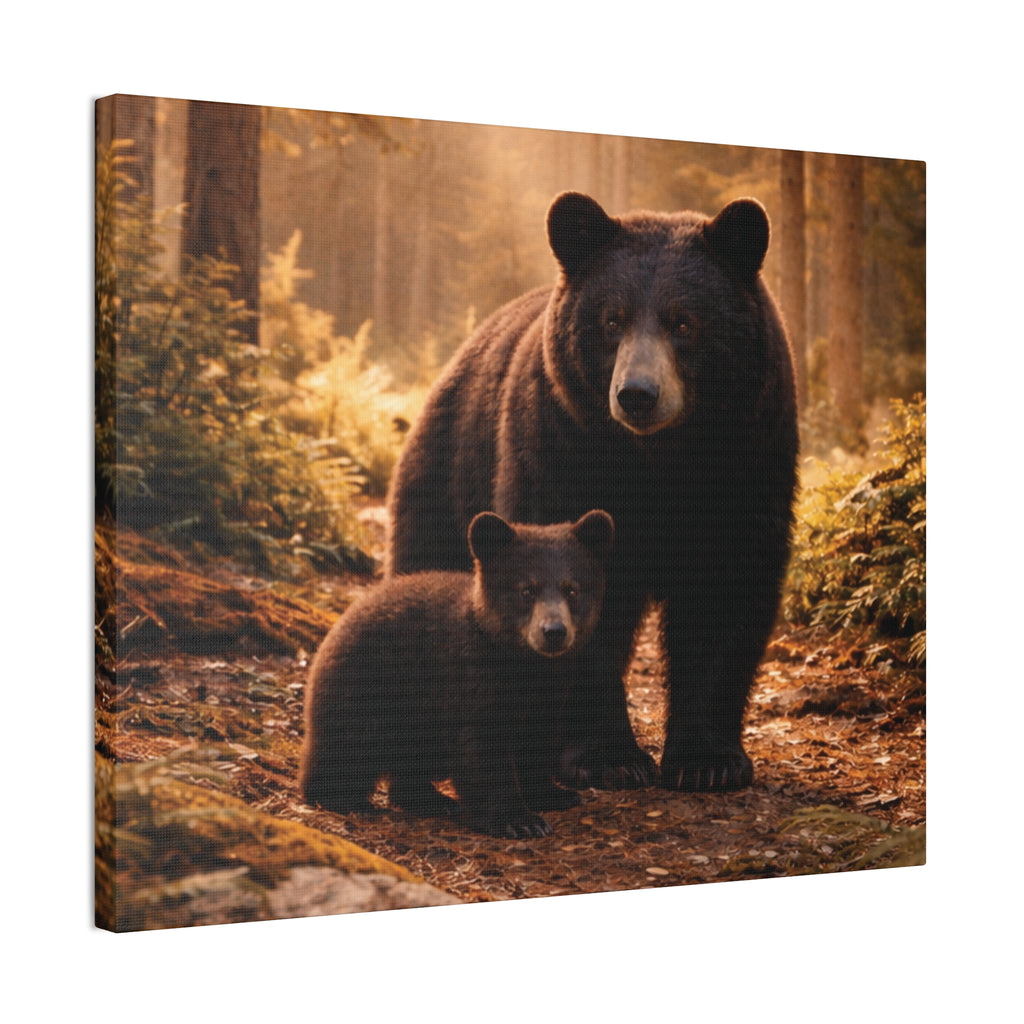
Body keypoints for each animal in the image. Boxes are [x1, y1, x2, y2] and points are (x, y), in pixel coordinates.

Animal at [300, 509, 614, 838]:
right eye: (527, 589)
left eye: (572, 589)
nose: (553, 632)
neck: (522, 664)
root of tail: (340, 621)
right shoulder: (469, 679)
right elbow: (482, 749)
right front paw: (519, 820)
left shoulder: (550, 691)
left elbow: (536, 741)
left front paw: (554, 794)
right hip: (367, 690)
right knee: (347, 748)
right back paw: (344, 798)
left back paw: (431, 799)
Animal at [387, 191, 798, 793]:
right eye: (612, 319)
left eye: (684, 321)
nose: (637, 394)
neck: (658, 460)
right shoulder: (563, 446)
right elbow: (570, 580)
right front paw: (608, 757)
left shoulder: (745, 460)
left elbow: (724, 589)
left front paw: (708, 761)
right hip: (449, 474)